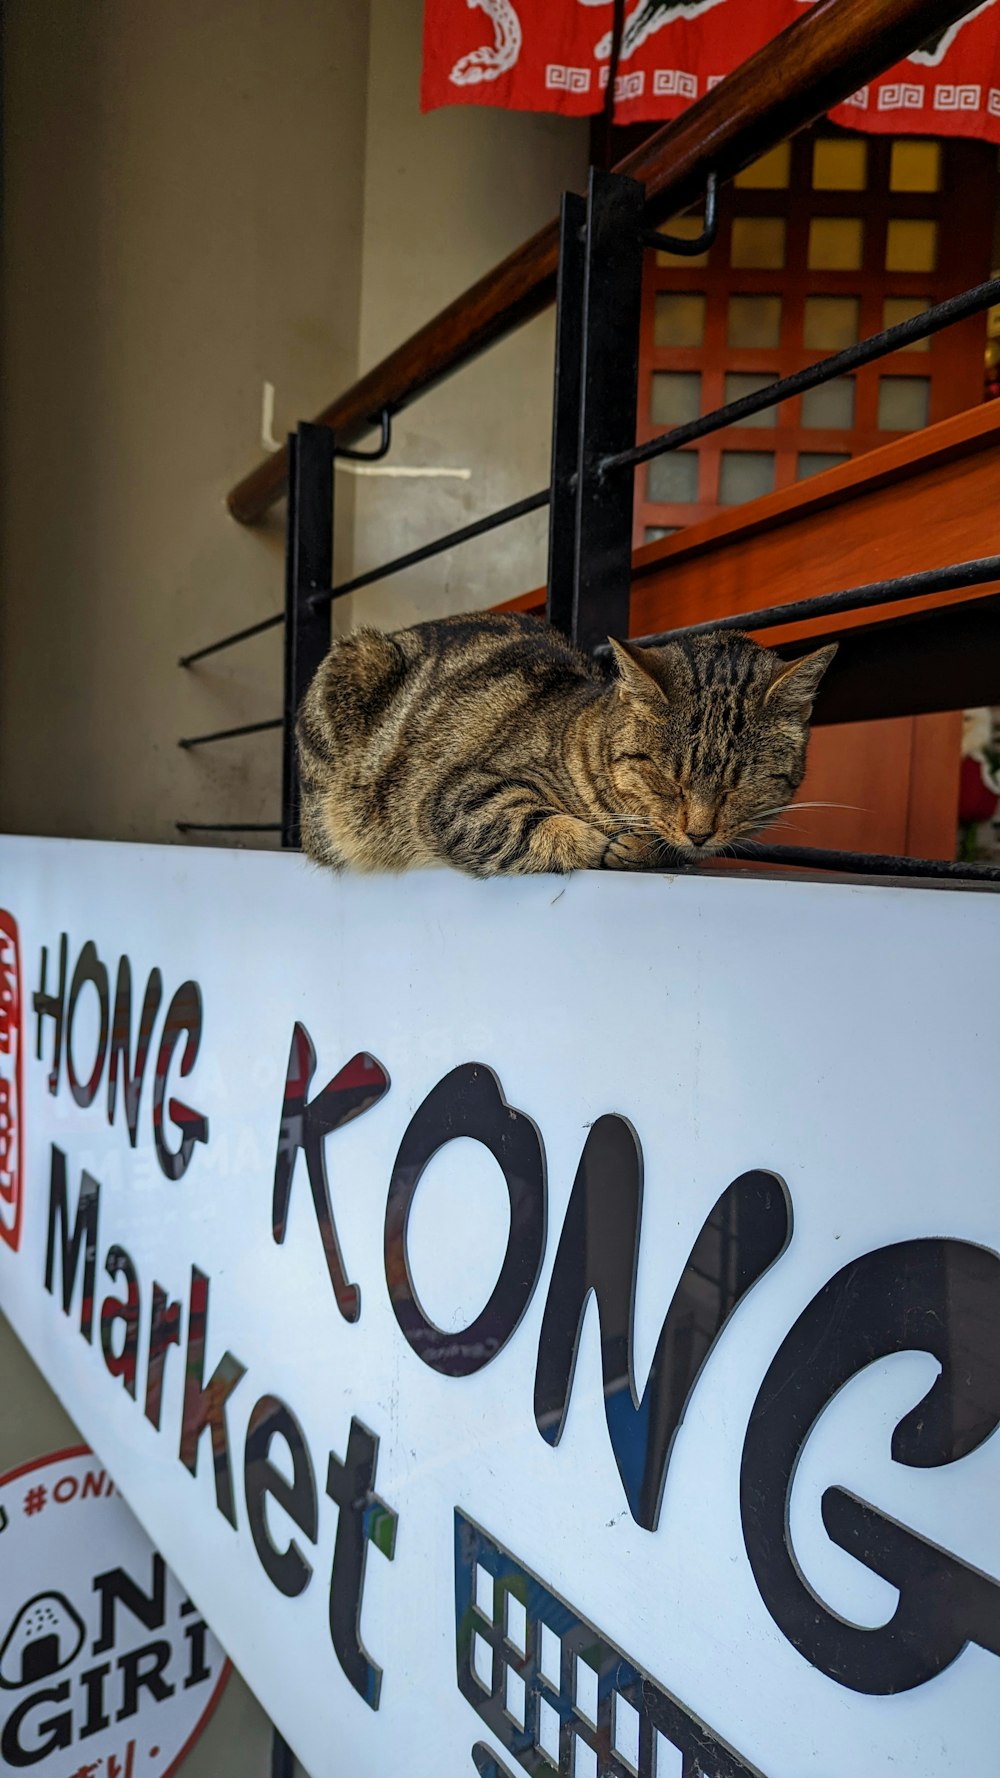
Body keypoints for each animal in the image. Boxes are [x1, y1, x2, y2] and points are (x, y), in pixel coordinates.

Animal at [295, 615, 832, 878]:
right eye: (666, 778)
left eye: (738, 785)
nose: (699, 833)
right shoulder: (458, 795)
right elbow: (534, 825)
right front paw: (607, 844)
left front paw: (649, 849)